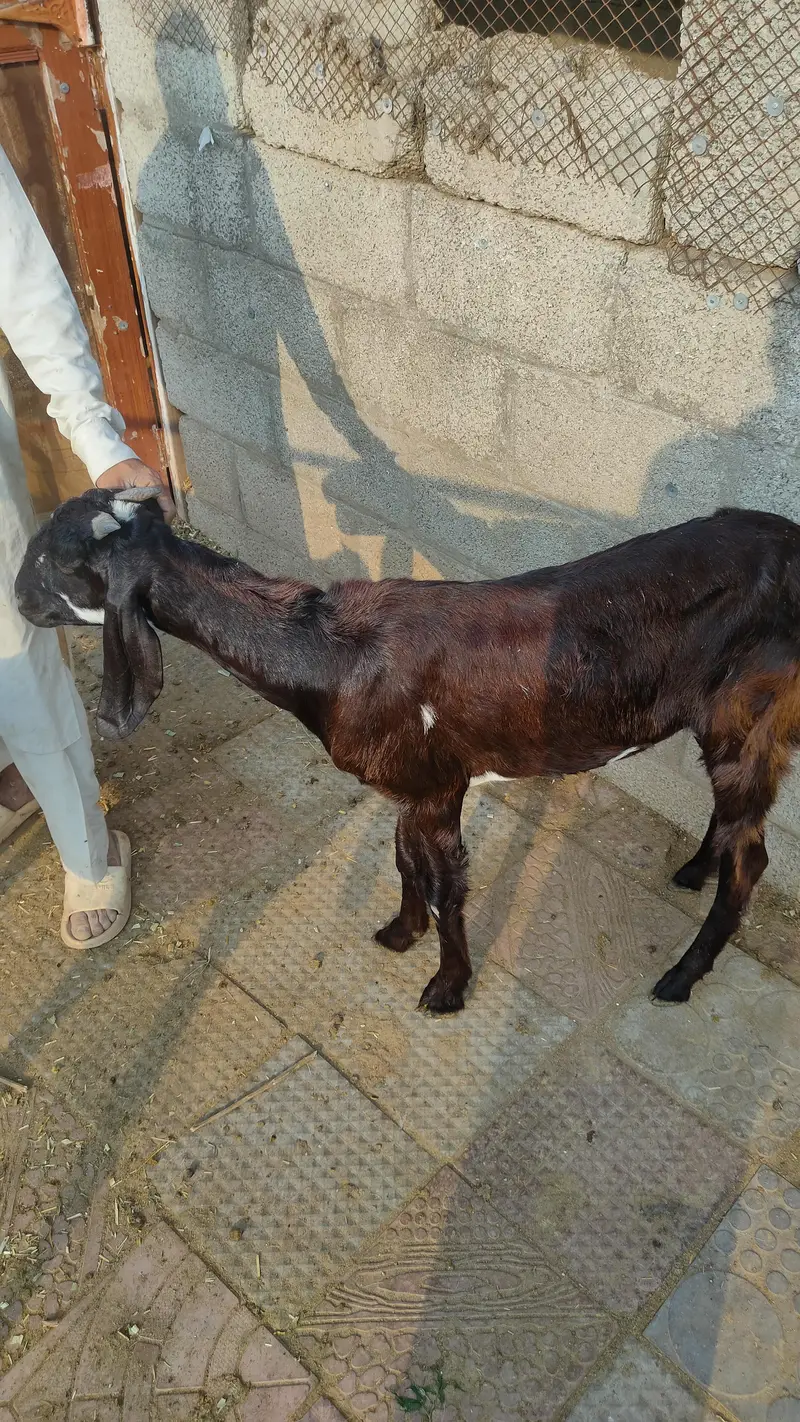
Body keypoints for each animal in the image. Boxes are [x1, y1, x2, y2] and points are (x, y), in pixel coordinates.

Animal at [16, 487, 800, 1013]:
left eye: (55, 560)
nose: (18, 599)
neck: (333, 657)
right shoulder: (406, 783)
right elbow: (402, 860)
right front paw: (399, 931)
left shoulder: (437, 784)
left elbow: (446, 883)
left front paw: (446, 988)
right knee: (734, 824)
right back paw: (693, 870)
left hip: (752, 710)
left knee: (753, 856)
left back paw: (681, 976)